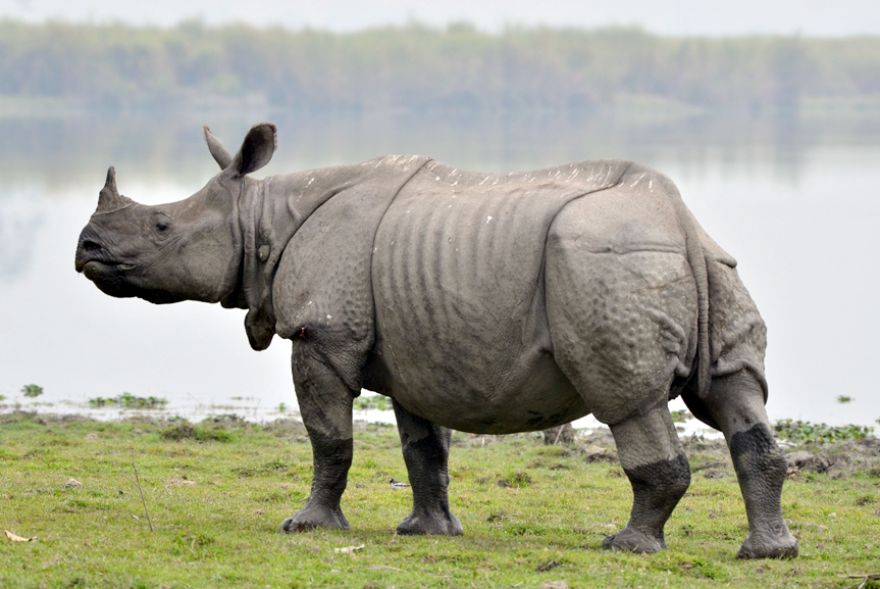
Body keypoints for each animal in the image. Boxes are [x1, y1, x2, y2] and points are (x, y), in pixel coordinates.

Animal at [74, 123, 798, 558]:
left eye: (161, 227)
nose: (86, 249)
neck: (261, 219)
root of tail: (676, 220)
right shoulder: (415, 346)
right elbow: (423, 447)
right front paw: (428, 532)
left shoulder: (323, 333)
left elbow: (329, 439)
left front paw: (307, 525)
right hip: (709, 266)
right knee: (734, 396)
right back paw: (768, 552)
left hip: (604, 264)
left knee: (628, 398)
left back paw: (627, 546)